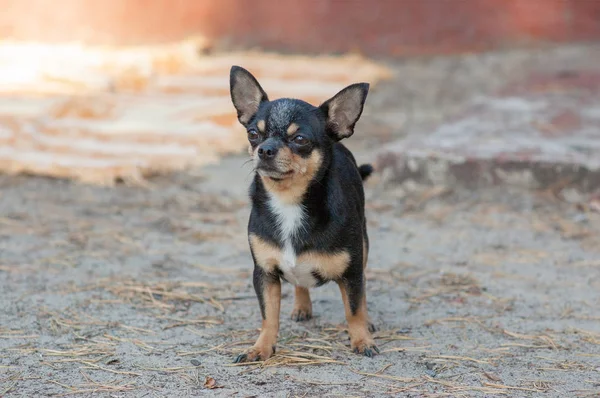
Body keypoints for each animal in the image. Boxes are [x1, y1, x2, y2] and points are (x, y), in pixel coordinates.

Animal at [227, 67, 378, 362]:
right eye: (253, 134)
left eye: (300, 139)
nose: (265, 149)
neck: (289, 202)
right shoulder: (265, 274)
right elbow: (269, 315)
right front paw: (261, 347)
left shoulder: (352, 272)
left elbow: (354, 309)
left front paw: (361, 339)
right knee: (299, 282)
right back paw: (301, 306)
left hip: (364, 247)